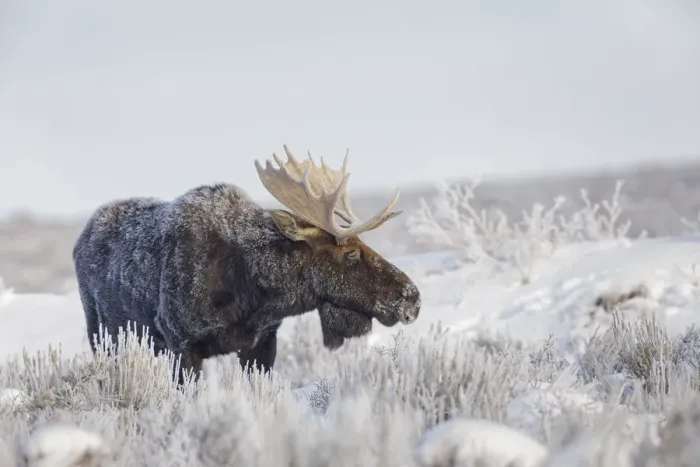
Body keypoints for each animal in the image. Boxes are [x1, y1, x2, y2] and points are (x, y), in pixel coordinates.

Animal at [72, 145, 421, 383]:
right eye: (350, 254)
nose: (413, 298)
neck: (253, 292)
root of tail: (79, 240)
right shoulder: (182, 344)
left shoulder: (262, 342)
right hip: (102, 337)